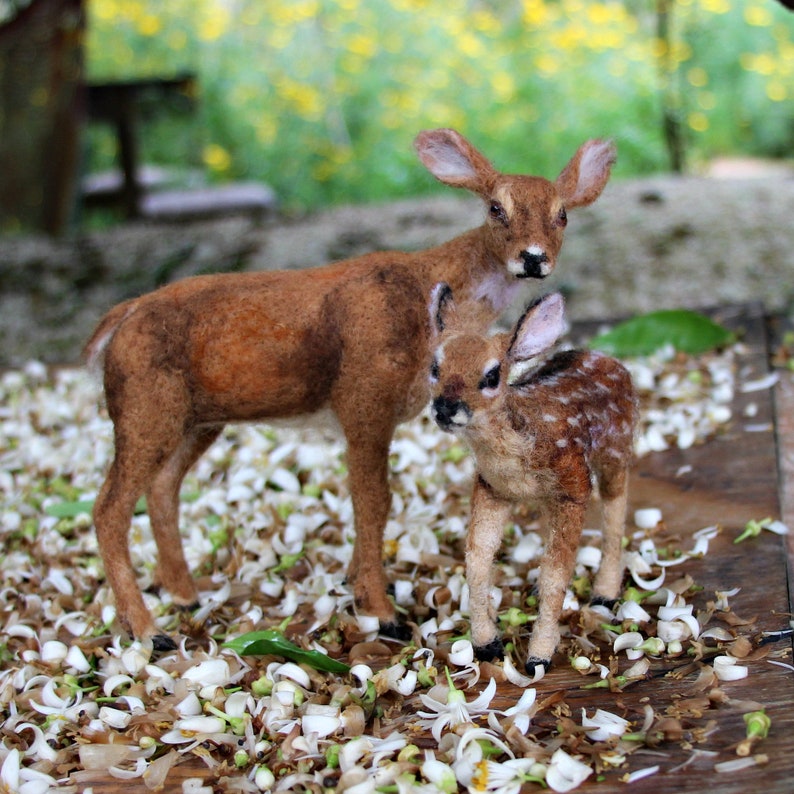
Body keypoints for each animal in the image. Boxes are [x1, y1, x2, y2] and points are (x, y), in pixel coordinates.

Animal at [85, 127, 612, 648]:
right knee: (109, 507)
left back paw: (183, 595)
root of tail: (117, 320)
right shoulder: (364, 396)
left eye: (562, 214)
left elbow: (371, 502)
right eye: (495, 208)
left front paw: (353, 585)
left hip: (195, 418)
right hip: (143, 406)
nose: (533, 257)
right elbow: (373, 501)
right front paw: (382, 612)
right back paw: (148, 630)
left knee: (162, 488)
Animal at [426, 288, 636, 672]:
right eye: (435, 366)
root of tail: (604, 356)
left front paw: (539, 655)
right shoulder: (491, 487)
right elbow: (478, 560)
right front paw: (486, 644)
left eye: (492, 375)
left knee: (616, 510)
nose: (446, 407)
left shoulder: (574, 485)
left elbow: (556, 572)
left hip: (616, 451)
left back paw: (604, 595)